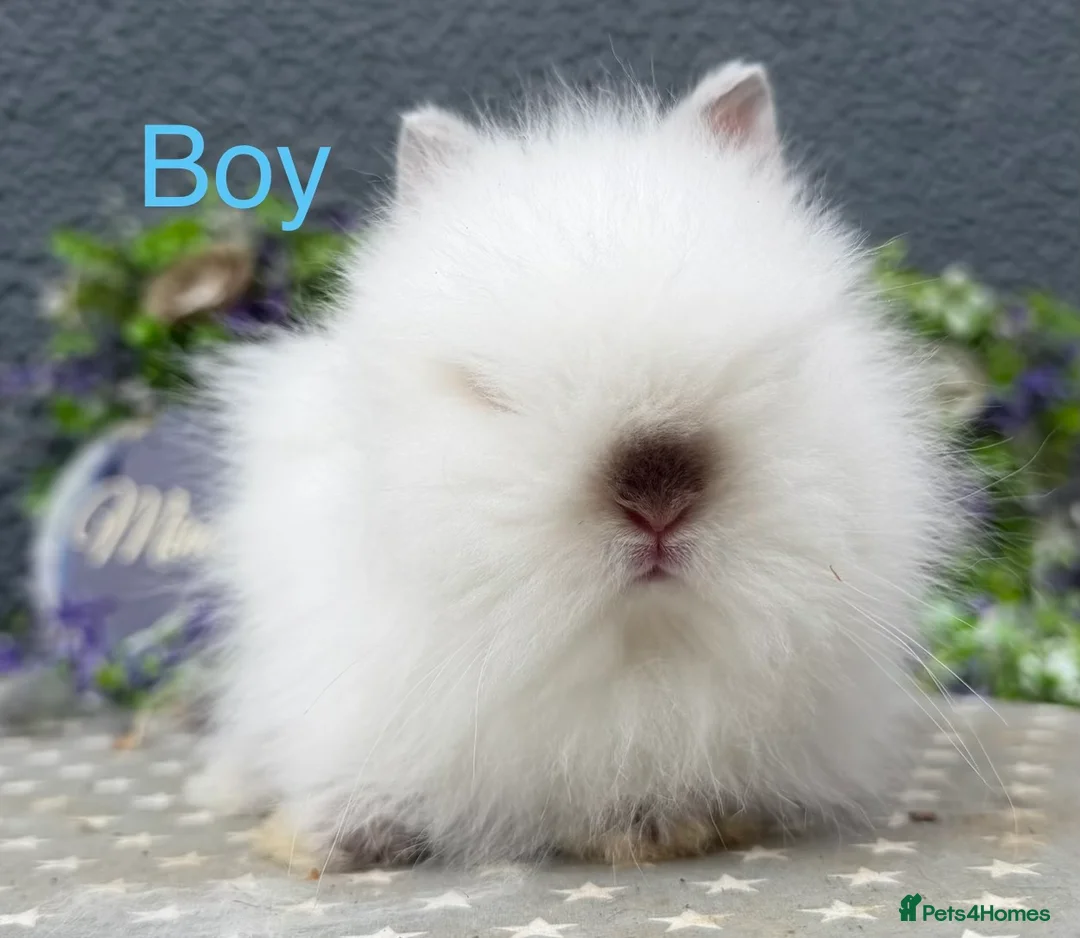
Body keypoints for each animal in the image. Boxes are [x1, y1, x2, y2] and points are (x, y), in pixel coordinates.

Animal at [186, 61, 968, 870]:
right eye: (484, 390)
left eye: (779, 362)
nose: (658, 493)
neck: (637, 663)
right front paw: (333, 833)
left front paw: (661, 825)